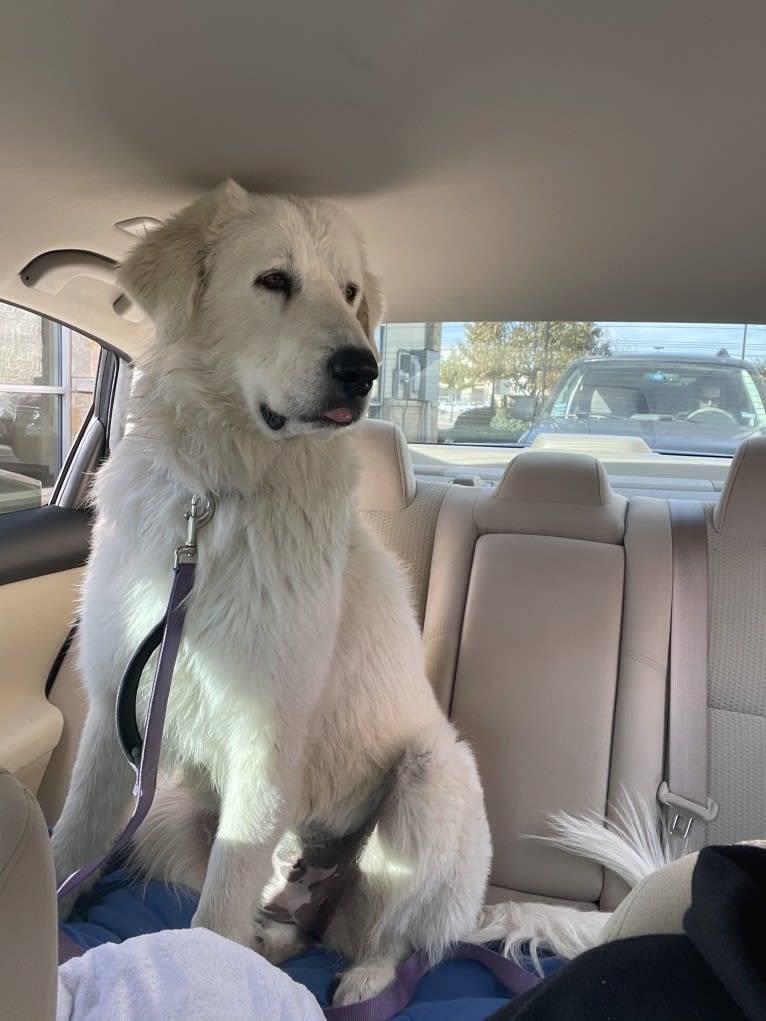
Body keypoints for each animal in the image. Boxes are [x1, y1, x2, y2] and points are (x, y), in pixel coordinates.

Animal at [51, 179, 608, 1000]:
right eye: (274, 279)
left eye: (349, 293)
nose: (363, 368)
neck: (214, 503)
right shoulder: (114, 707)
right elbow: (71, 842)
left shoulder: (266, 734)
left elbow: (216, 911)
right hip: (174, 816)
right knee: (288, 922)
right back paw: (277, 938)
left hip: (428, 780)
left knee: (394, 938)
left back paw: (362, 981)